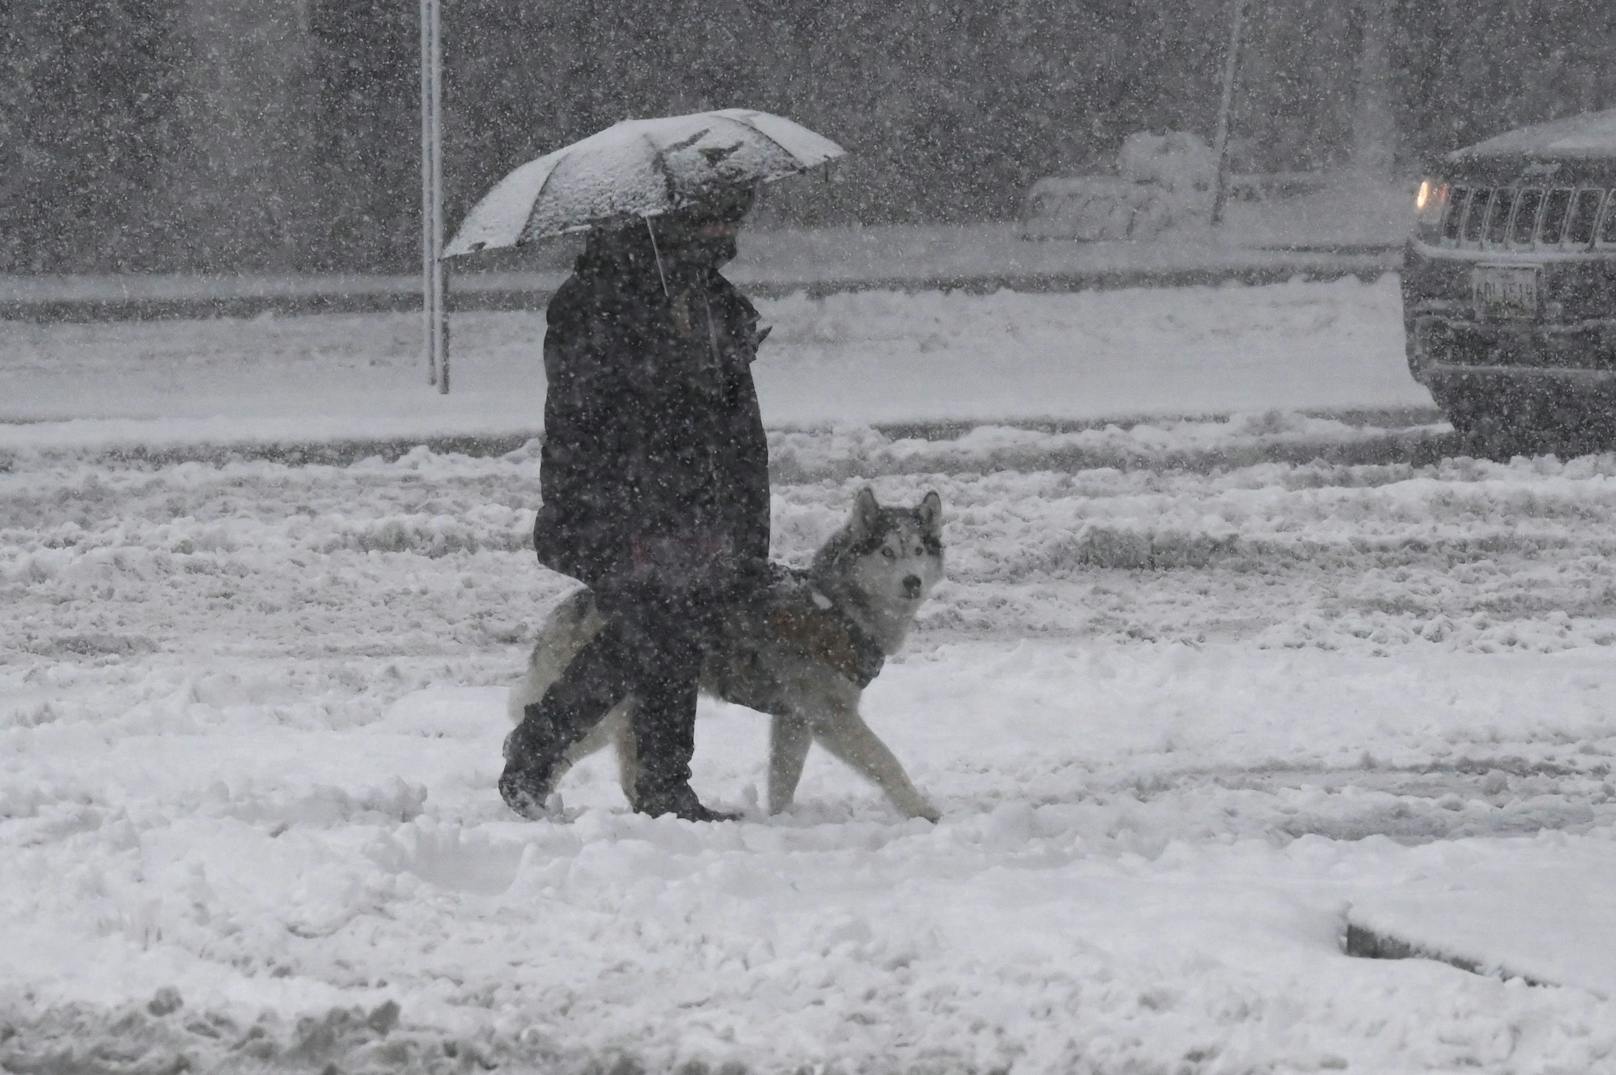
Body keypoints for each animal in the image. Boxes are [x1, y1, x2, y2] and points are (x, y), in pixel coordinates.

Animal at [507, 488, 943, 821]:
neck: (836, 607)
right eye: (887, 552)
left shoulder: (795, 718)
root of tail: (573, 604)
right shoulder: (830, 715)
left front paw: (780, 821)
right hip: (603, 708)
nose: (912, 582)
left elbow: (783, 779)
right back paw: (528, 801)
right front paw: (921, 810)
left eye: (919, 549)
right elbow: (885, 760)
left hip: (631, 710)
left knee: (628, 773)